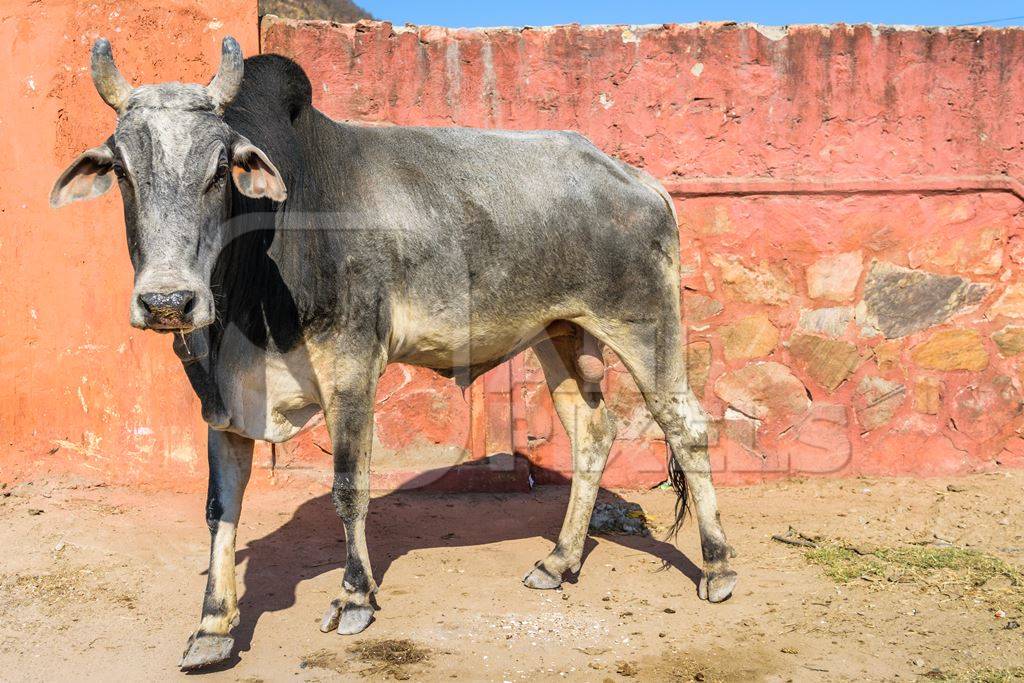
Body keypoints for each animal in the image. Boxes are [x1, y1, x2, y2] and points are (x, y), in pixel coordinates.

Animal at [49, 36, 737, 667]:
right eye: (121, 170)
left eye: (220, 170)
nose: (168, 301)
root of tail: (639, 179)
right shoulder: (225, 400)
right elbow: (221, 507)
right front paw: (213, 627)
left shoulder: (351, 365)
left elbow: (348, 485)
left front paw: (354, 598)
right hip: (560, 332)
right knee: (592, 430)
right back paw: (559, 560)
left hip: (645, 324)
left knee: (686, 425)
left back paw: (718, 567)